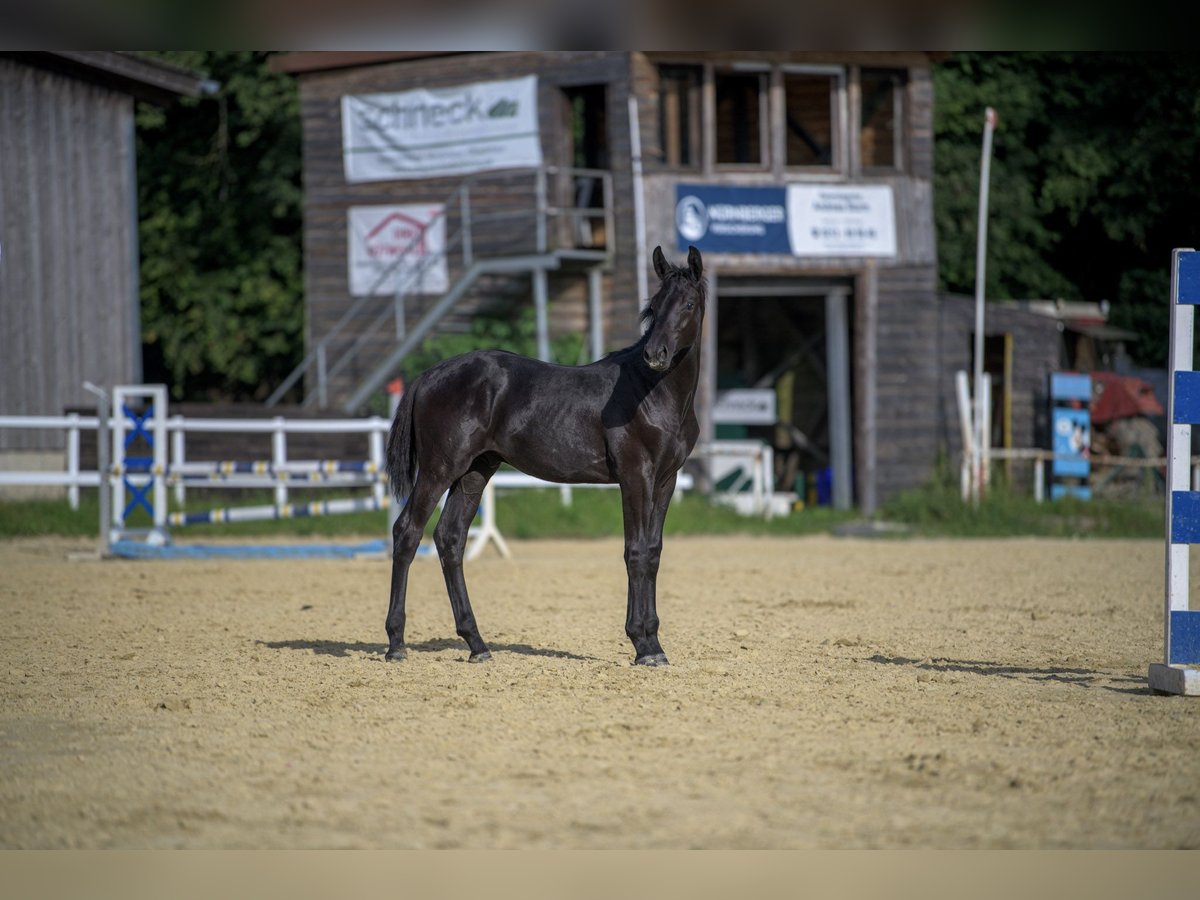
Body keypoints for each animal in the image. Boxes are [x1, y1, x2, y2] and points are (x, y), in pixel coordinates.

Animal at [384, 243, 700, 667]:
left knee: (449, 539)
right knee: (407, 533)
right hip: (439, 469)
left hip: (474, 472)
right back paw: (396, 643)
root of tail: (427, 376)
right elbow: (635, 552)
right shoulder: (636, 477)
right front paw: (642, 644)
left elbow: (653, 552)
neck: (652, 391)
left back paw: (477, 644)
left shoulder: (666, 480)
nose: (656, 354)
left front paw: (654, 644)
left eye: (688, 303)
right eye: (655, 304)